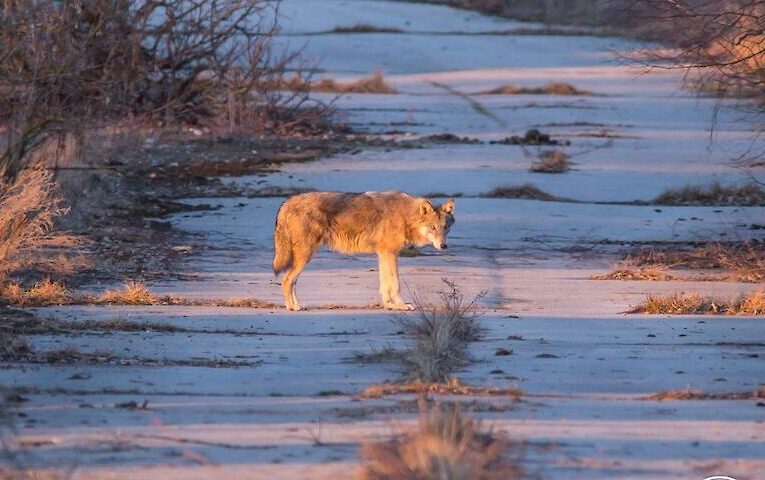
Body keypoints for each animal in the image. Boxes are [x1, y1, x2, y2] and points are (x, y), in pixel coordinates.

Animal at [274, 191, 454, 312]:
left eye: (445, 227)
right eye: (432, 228)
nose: (443, 246)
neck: (405, 216)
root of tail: (287, 202)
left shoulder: (384, 254)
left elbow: (385, 284)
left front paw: (389, 305)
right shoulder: (389, 253)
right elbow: (395, 284)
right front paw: (401, 306)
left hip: (304, 257)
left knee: (292, 281)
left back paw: (297, 304)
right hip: (305, 255)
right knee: (286, 280)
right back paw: (292, 307)